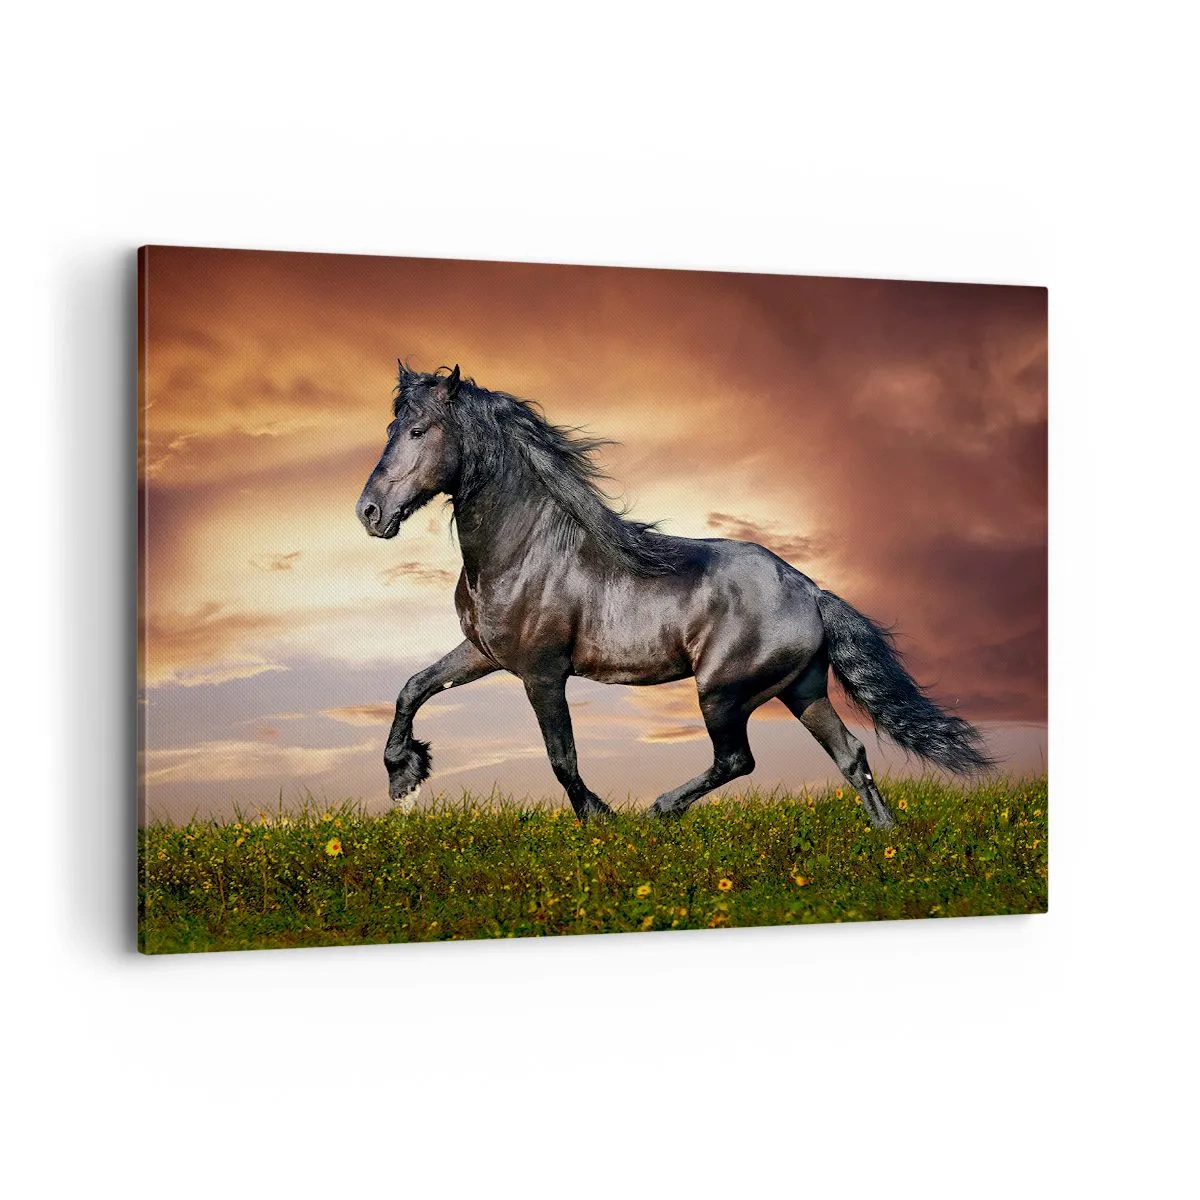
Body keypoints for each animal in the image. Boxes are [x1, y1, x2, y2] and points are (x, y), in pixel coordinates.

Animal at [355, 362, 993, 826]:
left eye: (419, 431)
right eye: (389, 430)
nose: (370, 513)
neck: (526, 551)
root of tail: (810, 590)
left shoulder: (542, 672)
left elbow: (562, 757)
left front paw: (600, 818)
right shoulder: (484, 654)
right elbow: (412, 688)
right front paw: (404, 774)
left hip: (723, 692)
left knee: (737, 759)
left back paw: (659, 810)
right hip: (802, 689)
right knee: (851, 756)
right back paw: (886, 835)